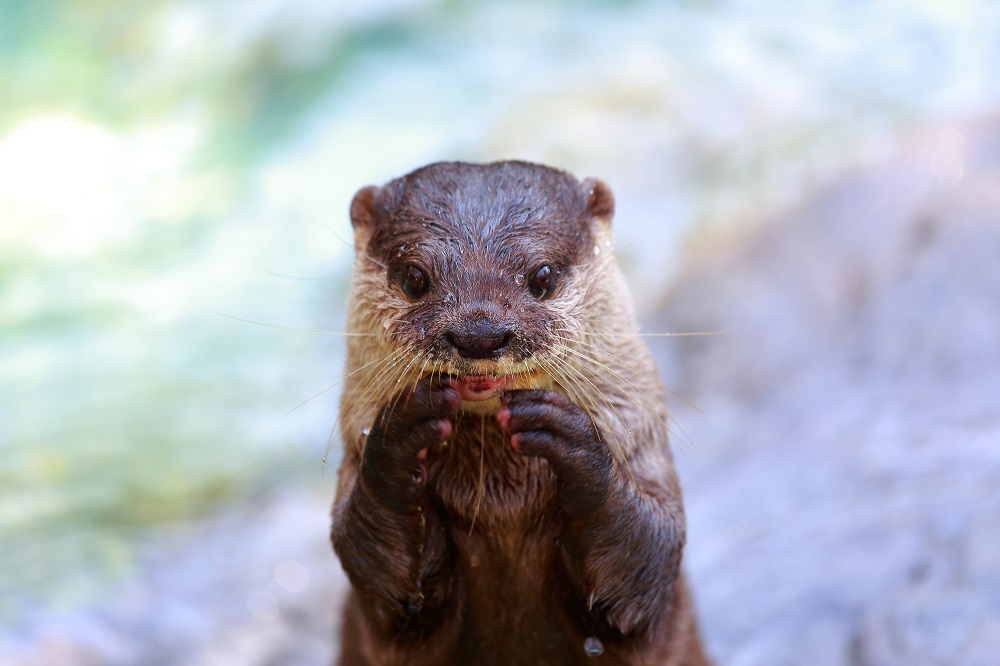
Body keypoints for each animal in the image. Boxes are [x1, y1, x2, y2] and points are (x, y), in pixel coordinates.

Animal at [332, 161, 708, 664]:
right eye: (414, 277)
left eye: (542, 276)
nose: (479, 332)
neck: (502, 500)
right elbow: (377, 573)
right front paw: (400, 433)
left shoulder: (640, 442)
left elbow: (644, 565)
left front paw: (571, 439)